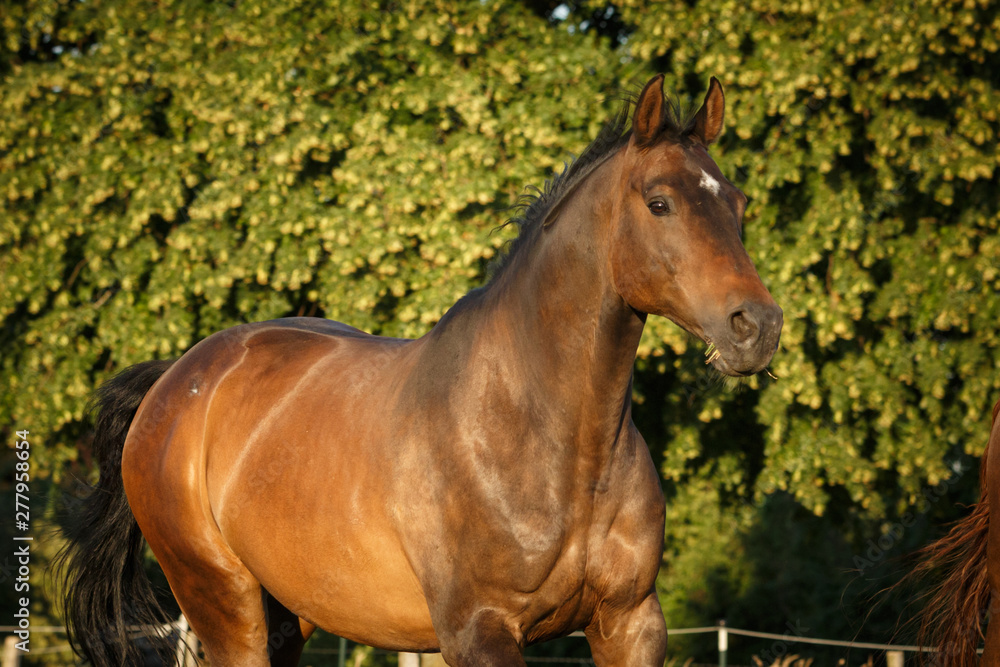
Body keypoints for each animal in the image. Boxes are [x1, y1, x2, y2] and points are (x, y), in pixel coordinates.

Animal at [59, 74, 782, 667]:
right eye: (659, 202)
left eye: (739, 203)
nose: (757, 326)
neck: (551, 440)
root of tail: (176, 382)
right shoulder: (480, 631)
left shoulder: (629, 623)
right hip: (223, 601)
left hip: (287, 614)